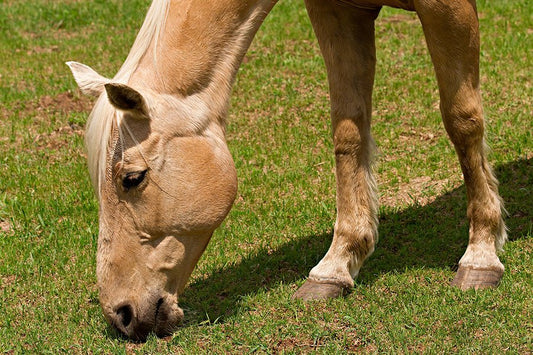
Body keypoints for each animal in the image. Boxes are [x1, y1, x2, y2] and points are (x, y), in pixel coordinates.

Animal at [67, 0, 508, 342]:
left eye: (132, 178)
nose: (120, 315)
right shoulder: (338, 12)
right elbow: (348, 132)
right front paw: (336, 265)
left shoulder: (446, 9)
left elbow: (462, 120)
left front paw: (481, 254)